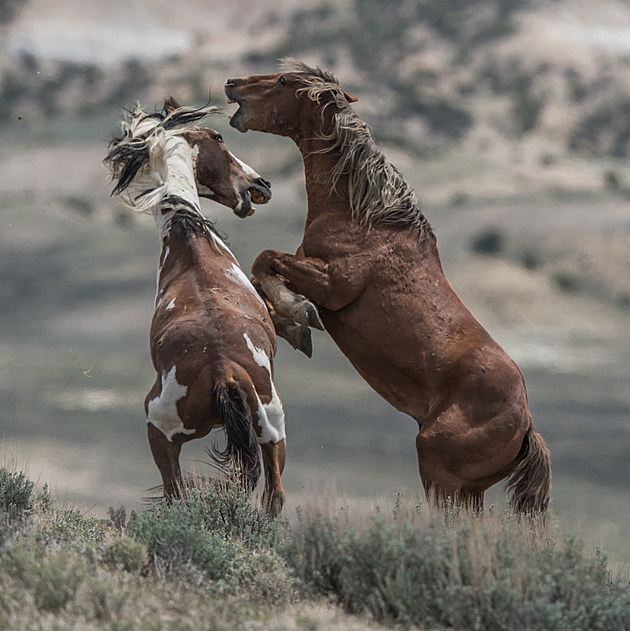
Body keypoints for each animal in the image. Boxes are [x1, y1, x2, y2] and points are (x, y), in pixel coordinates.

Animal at [105, 103, 288, 520]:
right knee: (272, 499)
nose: (260, 184)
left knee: (178, 495)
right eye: (218, 138)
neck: (190, 240)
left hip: (164, 435)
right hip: (271, 431)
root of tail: (224, 370)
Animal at [225, 60, 552, 520]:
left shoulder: (332, 284)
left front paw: (302, 319)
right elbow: (260, 282)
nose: (231, 84)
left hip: (440, 471)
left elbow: (264, 260)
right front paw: (294, 325)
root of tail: (526, 428)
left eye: (285, 82)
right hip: (470, 491)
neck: (363, 215)